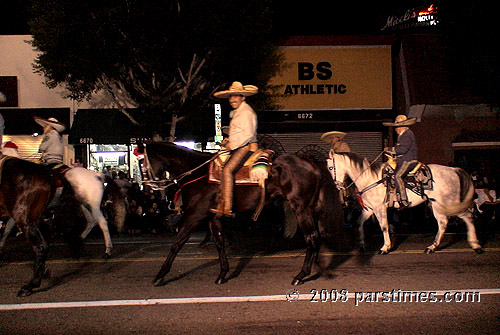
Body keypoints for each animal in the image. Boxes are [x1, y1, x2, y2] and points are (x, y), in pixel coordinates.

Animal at [143, 143, 346, 288]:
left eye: (143, 162)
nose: (147, 189)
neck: (196, 173)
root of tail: (313, 163)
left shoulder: (194, 216)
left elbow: (176, 244)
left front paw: (160, 276)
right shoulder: (212, 217)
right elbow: (219, 243)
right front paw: (223, 273)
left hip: (300, 208)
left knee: (311, 237)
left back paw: (300, 275)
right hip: (310, 208)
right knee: (316, 237)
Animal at [326, 152, 482, 255]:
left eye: (331, 168)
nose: (336, 187)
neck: (370, 178)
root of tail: (454, 170)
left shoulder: (379, 208)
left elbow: (384, 226)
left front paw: (385, 247)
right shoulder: (369, 209)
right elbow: (359, 223)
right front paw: (362, 245)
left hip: (447, 204)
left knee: (463, 218)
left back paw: (473, 246)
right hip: (441, 205)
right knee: (448, 222)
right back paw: (436, 247)